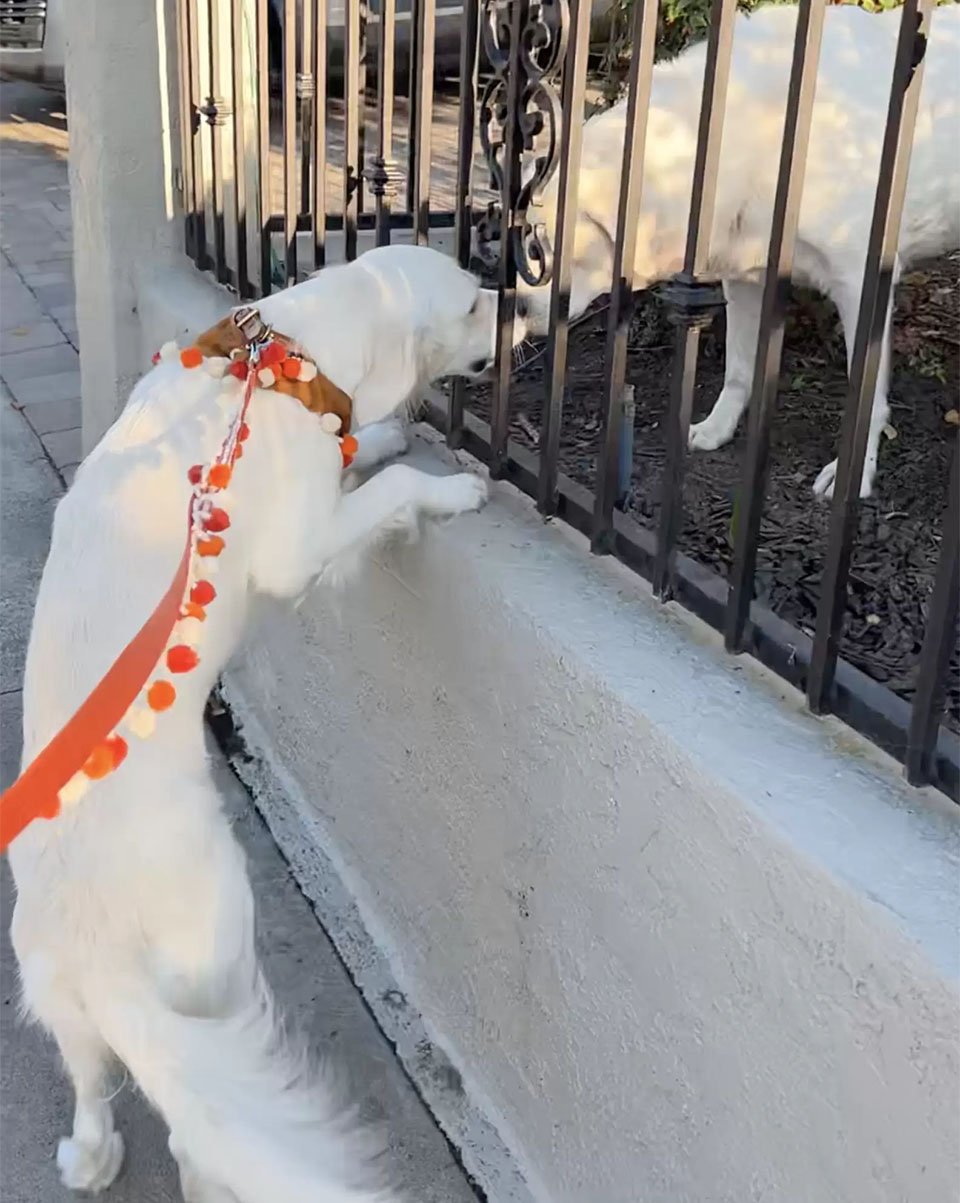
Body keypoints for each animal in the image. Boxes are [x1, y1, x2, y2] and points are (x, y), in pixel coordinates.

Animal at [9, 244, 526, 1203]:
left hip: (62, 1001)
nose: (524, 306)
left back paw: (92, 1157)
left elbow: (369, 447)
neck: (288, 362)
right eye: (476, 302)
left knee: (94, 1095)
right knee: (198, 1127)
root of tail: (98, 944)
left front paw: (383, 437)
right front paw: (454, 487)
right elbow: (397, 486)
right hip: (221, 934)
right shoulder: (295, 551)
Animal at [519, 1, 960, 498]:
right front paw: (716, 428)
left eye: (540, 248)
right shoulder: (746, 279)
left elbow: (863, 400)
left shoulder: (862, 284)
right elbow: (739, 369)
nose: (516, 309)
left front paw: (853, 475)